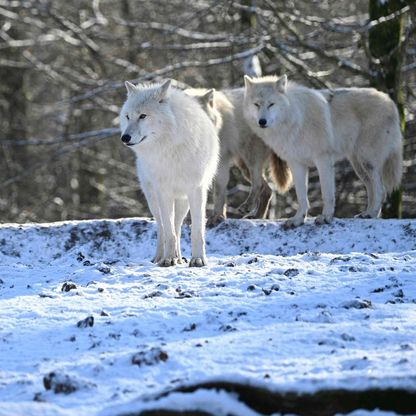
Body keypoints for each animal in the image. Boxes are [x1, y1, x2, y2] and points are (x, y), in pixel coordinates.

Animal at [119, 79, 219, 266]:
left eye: (143, 116)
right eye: (128, 116)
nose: (124, 138)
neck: (169, 146)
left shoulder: (197, 189)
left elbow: (196, 231)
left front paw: (198, 259)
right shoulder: (163, 192)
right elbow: (168, 231)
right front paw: (168, 259)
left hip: (183, 202)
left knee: (178, 226)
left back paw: (179, 258)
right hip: (153, 199)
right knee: (162, 228)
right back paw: (160, 257)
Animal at [185, 85, 292, 226]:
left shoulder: (221, 163)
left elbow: (218, 192)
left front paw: (216, 217)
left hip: (251, 158)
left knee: (258, 185)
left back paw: (247, 207)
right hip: (244, 167)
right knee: (267, 190)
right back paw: (257, 216)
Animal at [242, 73, 402, 226]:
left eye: (271, 104)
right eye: (256, 104)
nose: (262, 122)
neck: (296, 119)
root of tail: (390, 101)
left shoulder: (323, 159)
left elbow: (327, 193)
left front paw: (325, 217)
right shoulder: (296, 163)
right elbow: (301, 196)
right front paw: (298, 220)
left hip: (367, 161)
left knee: (381, 190)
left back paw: (371, 213)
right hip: (359, 166)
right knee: (372, 189)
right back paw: (367, 214)